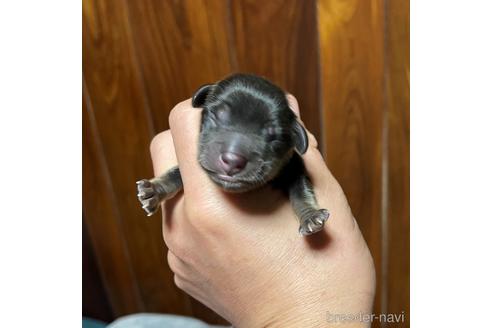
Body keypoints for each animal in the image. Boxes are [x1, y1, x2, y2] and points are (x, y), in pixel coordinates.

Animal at [136, 73, 328, 234]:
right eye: (217, 115)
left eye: (273, 136)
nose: (233, 160)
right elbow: (177, 173)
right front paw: (155, 189)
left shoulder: (293, 166)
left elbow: (301, 190)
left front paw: (311, 216)